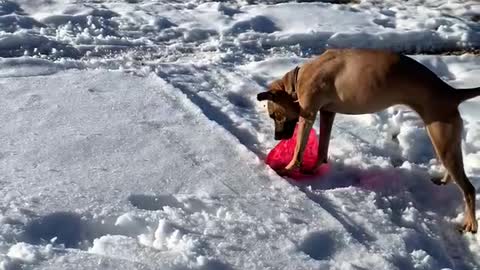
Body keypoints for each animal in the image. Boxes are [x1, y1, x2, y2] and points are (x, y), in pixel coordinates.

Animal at [256, 49, 480, 234]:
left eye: (274, 115)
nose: (277, 137)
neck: (299, 78)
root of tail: (452, 92)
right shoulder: (328, 113)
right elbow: (322, 149)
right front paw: (312, 169)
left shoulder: (308, 115)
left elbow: (298, 150)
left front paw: (288, 169)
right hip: (446, 140)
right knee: (454, 171)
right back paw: (444, 181)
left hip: (441, 137)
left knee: (469, 188)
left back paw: (470, 223)